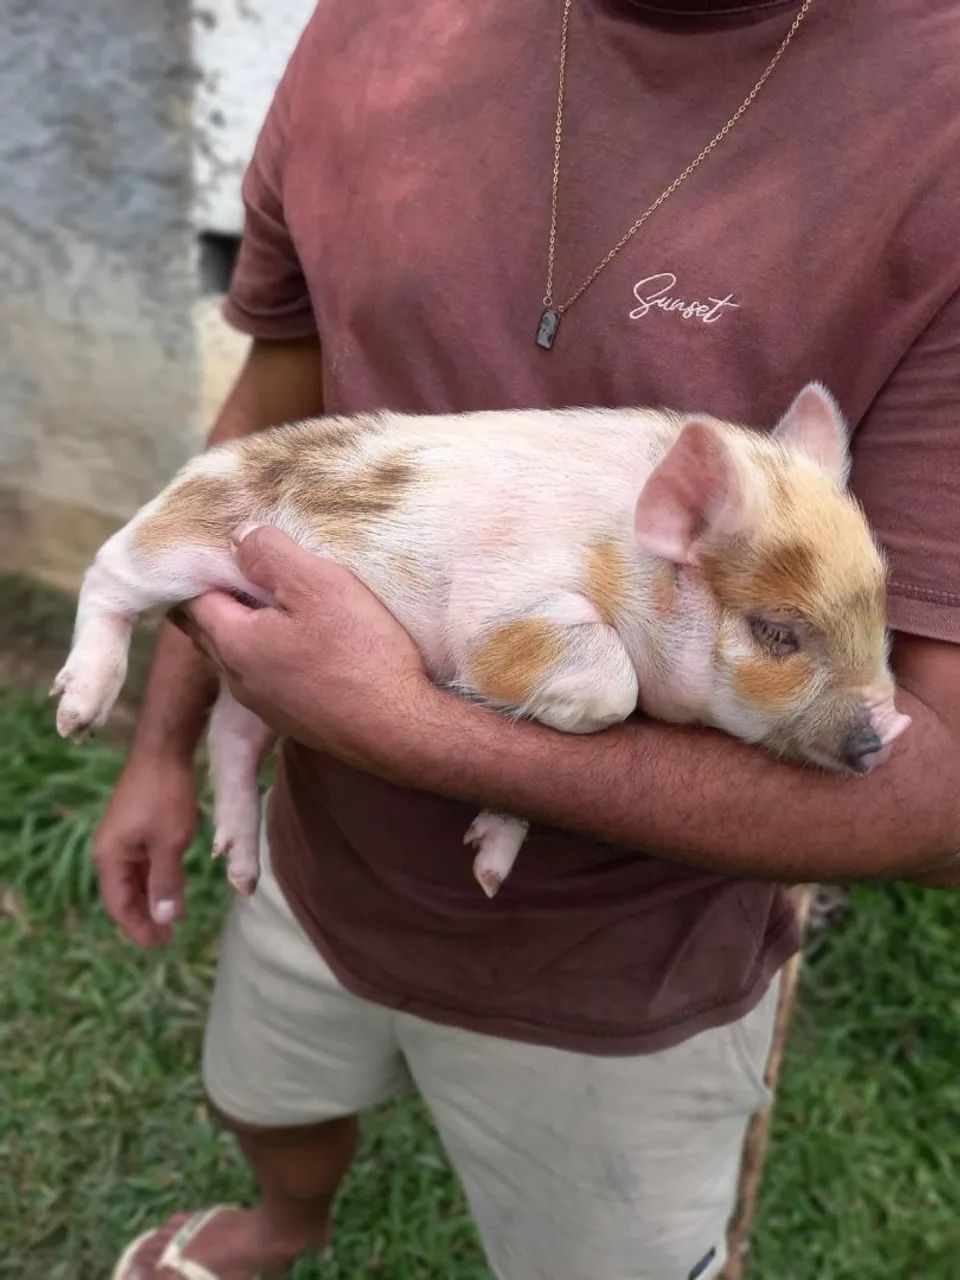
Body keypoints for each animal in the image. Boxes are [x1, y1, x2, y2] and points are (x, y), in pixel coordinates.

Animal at [52, 382, 910, 899]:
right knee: (108, 571)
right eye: (777, 633)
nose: (884, 737)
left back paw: (241, 875)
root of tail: (214, 458)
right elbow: (607, 684)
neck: (629, 561)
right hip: (183, 545)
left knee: (233, 728)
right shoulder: (504, 608)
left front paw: (489, 876)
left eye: (880, 617)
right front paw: (473, 696)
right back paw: (76, 715)